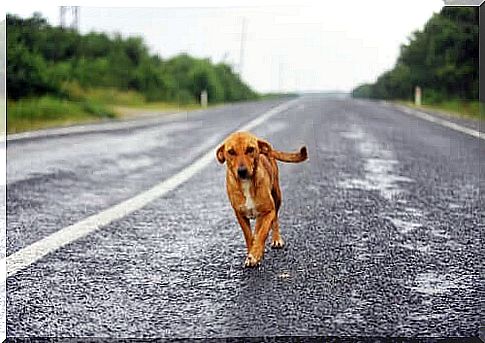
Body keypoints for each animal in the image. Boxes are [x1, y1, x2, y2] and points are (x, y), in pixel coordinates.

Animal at [216, 130, 306, 268]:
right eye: (231, 152)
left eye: (250, 149)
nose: (242, 171)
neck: (247, 184)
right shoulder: (240, 214)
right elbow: (249, 235)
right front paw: (252, 253)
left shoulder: (269, 211)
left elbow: (263, 232)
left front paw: (255, 255)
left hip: (277, 196)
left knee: (274, 221)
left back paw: (276, 239)